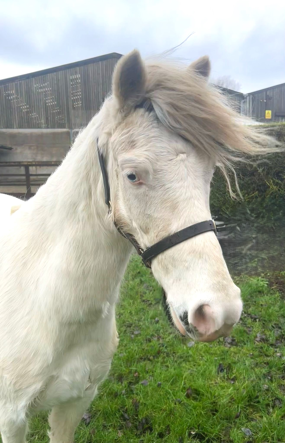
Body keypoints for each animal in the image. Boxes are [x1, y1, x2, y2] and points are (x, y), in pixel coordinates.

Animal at [0, 50, 276, 442]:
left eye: (208, 172)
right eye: (132, 175)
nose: (219, 312)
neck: (43, 300)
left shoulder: (74, 404)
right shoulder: (11, 418)